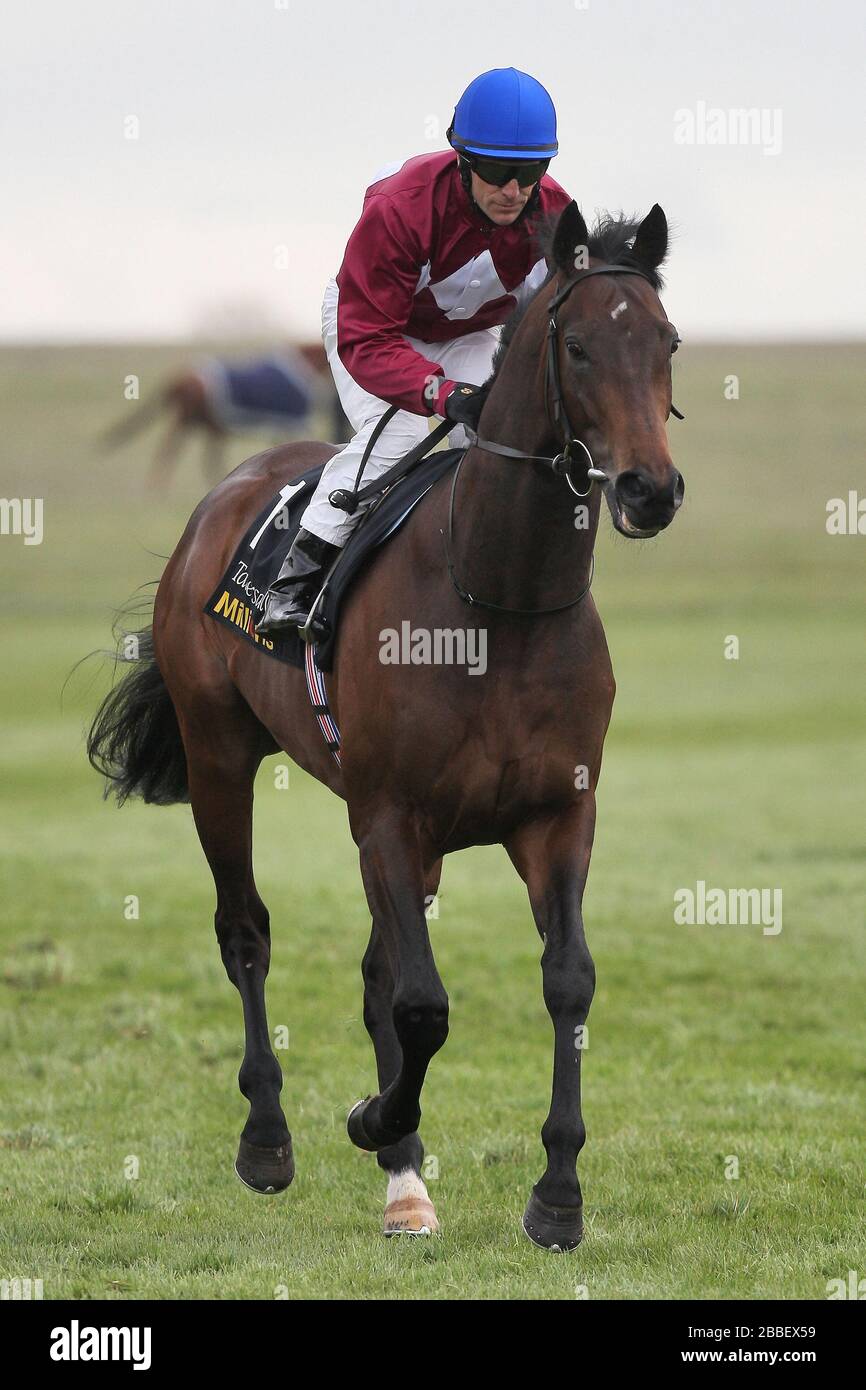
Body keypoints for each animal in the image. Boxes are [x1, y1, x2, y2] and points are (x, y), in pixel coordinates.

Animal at [88, 202, 683, 1251]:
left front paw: (557, 1192)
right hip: (219, 756)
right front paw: (375, 1120)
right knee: (247, 932)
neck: (498, 604)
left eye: (668, 343)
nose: (651, 488)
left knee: (373, 969)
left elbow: (563, 982)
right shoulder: (392, 817)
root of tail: (228, 491)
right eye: (576, 346)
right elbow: (421, 1003)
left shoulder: (555, 817)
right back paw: (271, 1138)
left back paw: (404, 1181)